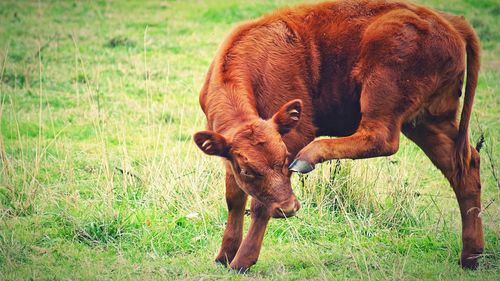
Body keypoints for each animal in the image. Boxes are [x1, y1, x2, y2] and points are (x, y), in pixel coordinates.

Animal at [193, 0, 482, 272]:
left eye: (285, 158)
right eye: (247, 170)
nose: (288, 208)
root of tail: (448, 20)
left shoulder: (296, 134)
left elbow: (259, 205)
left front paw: (242, 260)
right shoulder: (228, 155)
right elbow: (234, 198)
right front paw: (224, 254)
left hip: (385, 90)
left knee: (381, 138)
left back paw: (310, 156)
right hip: (428, 120)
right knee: (464, 167)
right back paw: (471, 255)